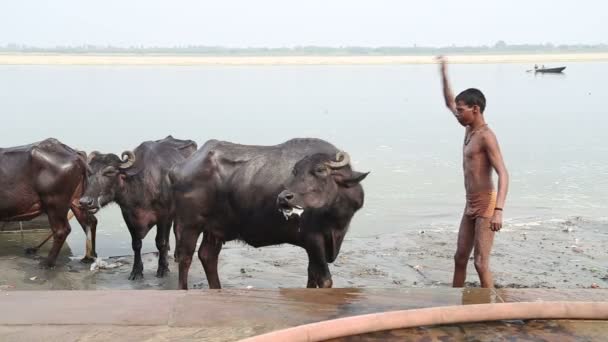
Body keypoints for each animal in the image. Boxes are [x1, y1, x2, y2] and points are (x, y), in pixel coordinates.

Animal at [0, 138, 97, 266]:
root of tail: (75, 153)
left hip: (54, 202)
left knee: (62, 230)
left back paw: (47, 263)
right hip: (77, 201)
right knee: (89, 222)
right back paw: (90, 257)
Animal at [78, 135, 196, 280]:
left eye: (110, 172)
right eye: (89, 173)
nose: (85, 202)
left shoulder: (164, 216)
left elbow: (160, 242)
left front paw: (163, 269)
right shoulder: (128, 216)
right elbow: (136, 244)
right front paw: (136, 271)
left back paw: (177, 256)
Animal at [171, 138, 370, 290]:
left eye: (320, 170)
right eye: (295, 171)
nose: (283, 197)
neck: (335, 217)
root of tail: (179, 168)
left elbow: (312, 274)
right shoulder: (313, 239)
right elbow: (324, 279)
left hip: (215, 228)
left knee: (207, 255)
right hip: (190, 224)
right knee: (185, 257)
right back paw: (183, 289)